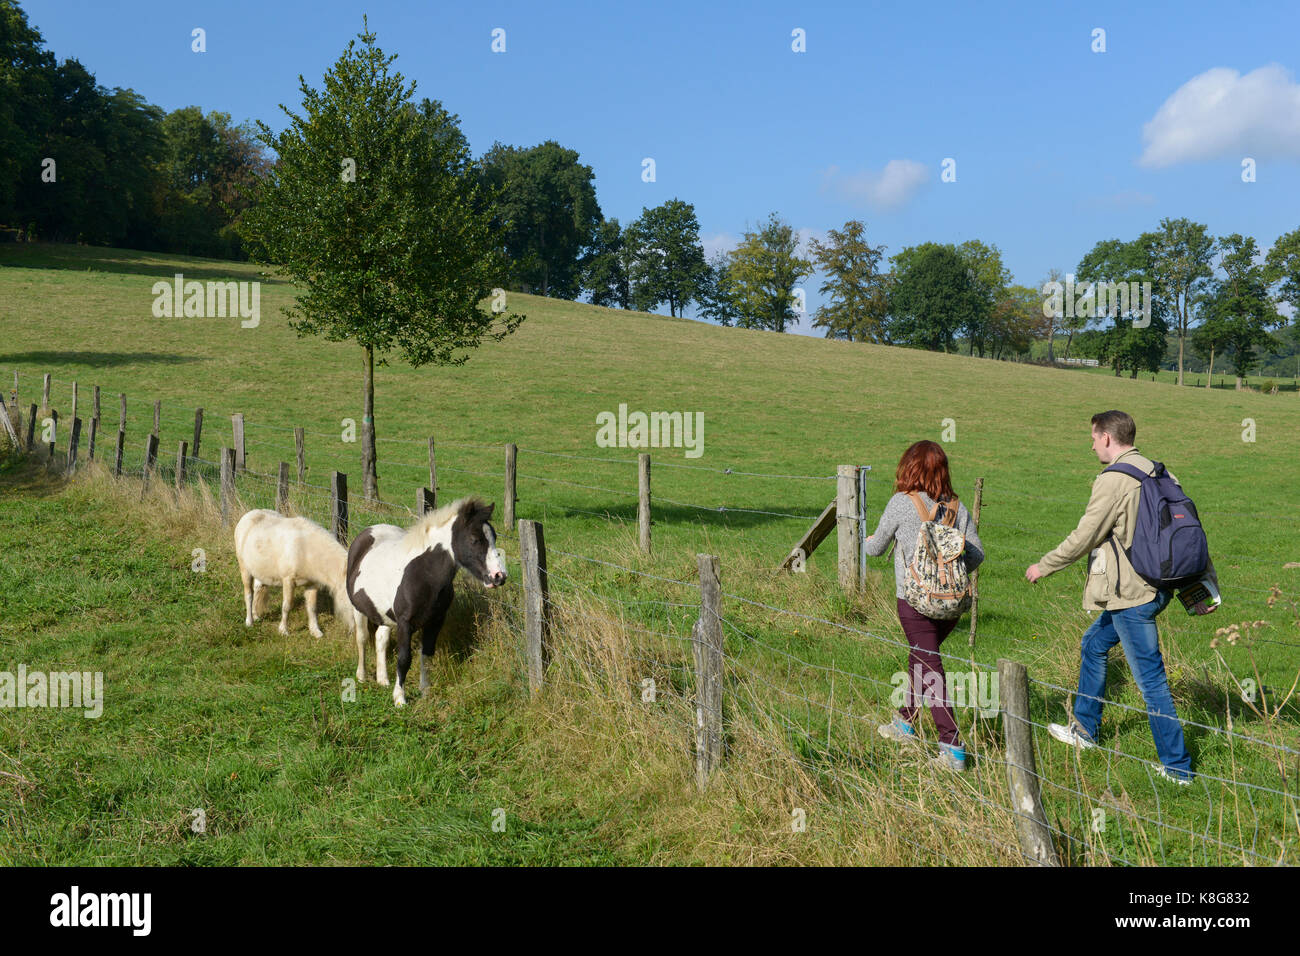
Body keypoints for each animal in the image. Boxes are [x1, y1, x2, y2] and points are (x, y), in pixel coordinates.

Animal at [233, 512, 361, 639]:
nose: (356, 630)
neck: (305, 550)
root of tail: (248, 515)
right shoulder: (288, 581)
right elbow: (287, 606)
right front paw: (283, 630)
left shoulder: (311, 584)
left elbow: (312, 608)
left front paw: (315, 631)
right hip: (245, 570)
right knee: (249, 594)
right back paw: (249, 622)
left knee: (258, 588)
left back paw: (256, 616)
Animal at [345, 496, 506, 707]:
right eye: (474, 539)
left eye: (494, 537)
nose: (499, 576)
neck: (424, 573)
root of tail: (367, 532)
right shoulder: (405, 623)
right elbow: (404, 659)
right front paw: (400, 699)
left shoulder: (435, 621)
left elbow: (426, 655)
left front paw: (425, 691)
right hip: (359, 609)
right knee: (362, 638)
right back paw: (362, 676)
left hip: (384, 615)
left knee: (381, 639)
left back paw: (383, 680)